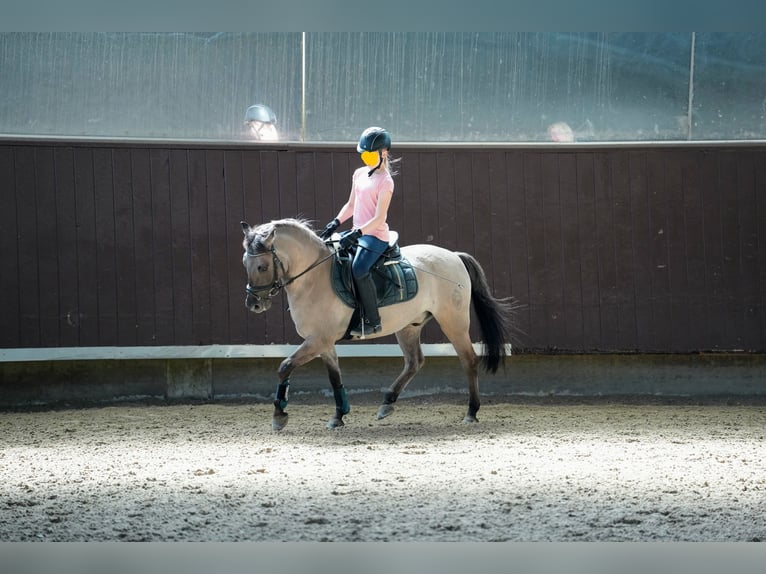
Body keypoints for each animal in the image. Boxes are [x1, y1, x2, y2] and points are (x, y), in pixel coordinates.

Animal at [240, 218, 516, 430]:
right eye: (245, 263)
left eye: (262, 266)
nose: (253, 304)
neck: (313, 278)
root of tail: (454, 257)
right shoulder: (323, 342)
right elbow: (334, 377)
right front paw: (339, 416)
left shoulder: (318, 340)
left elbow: (285, 367)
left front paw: (279, 415)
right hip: (409, 326)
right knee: (414, 362)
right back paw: (387, 403)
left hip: (453, 321)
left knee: (468, 360)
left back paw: (471, 412)